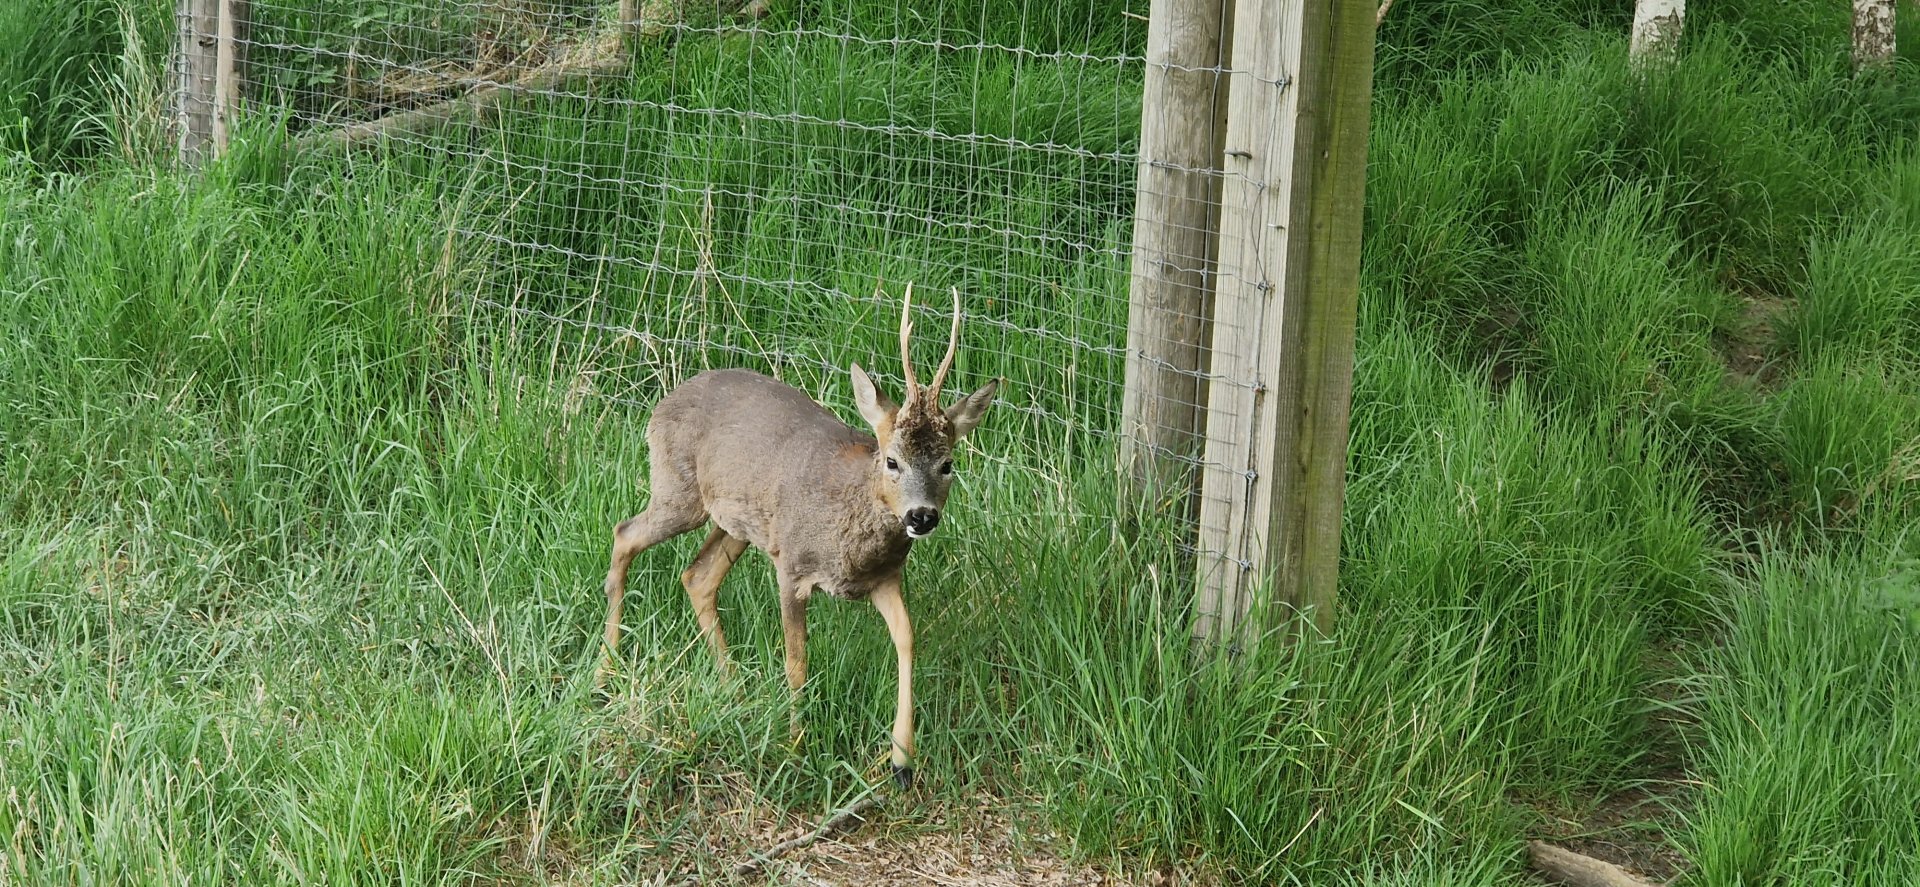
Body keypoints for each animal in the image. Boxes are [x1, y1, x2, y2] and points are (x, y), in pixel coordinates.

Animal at [600, 283, 999, 790]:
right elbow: (796, 660)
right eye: (892, 460)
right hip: (679, 491)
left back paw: (732, 688)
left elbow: (907, 639)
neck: (850, 537)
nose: (921, 516)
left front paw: (902, 761)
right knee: (624, 534)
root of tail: (663, 403)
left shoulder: (884, 578)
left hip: (739, 524)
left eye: (948, 464)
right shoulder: (792, 567)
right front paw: (795, 745)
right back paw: (606, 671)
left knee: (697, 576)